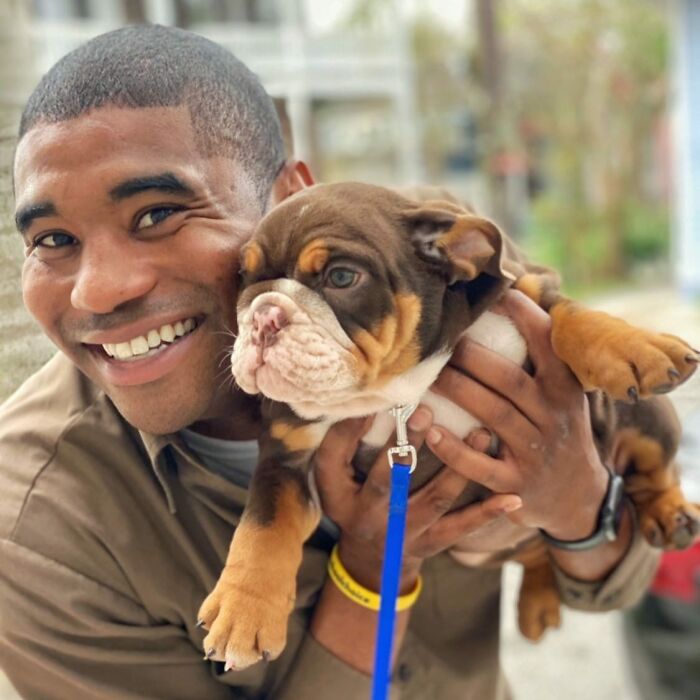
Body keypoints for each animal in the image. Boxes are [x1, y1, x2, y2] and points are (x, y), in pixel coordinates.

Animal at [197, 179, 700, 668]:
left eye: (341, 277)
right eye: (243, 278)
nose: (264, 315)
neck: (397, 393)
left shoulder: (519, 286)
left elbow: (566, 311)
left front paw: (636, 347)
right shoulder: (285, 456)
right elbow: (263, 526)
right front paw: (243, 611)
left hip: (645, 421)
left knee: (655, 465)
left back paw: (670, 512)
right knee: (538, 550)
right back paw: (538, 602)